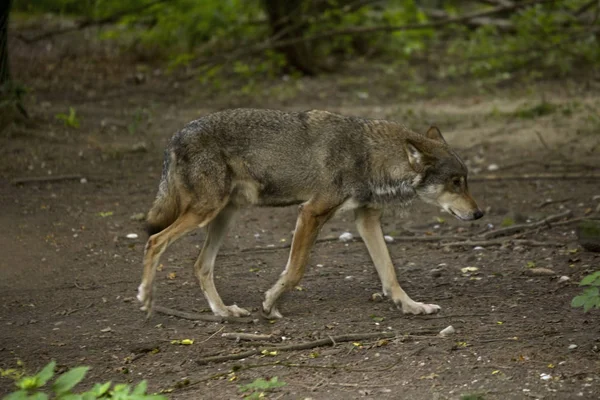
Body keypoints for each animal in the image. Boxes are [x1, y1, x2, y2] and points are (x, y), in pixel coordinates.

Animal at [136, 108, 482, 320]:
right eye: (455, 183)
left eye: (465, 181)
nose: (478, 214)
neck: (369, 155)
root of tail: (177, 135)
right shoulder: (311, 213)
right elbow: (295, 271)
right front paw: (271, 303)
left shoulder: (366, 218)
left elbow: (389, 272)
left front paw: (411, 306)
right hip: (206, 212)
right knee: (154, 241)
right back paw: (148, 299)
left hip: (223, 216)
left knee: (200, 265)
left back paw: (223, 312)